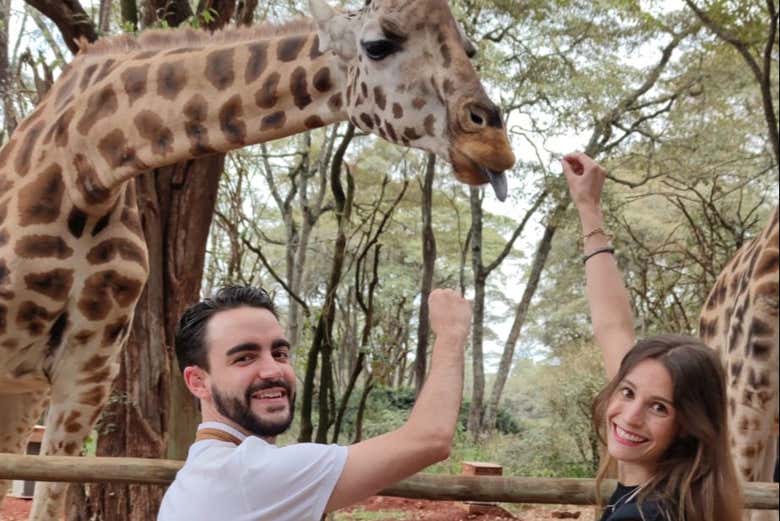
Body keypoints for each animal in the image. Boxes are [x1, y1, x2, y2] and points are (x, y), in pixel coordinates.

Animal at [0, 0, 516, 518]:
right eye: (377, 45)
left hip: (27, 391)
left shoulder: (88, 371)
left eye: (470, 49)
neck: (84, 175)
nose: (495, 145)